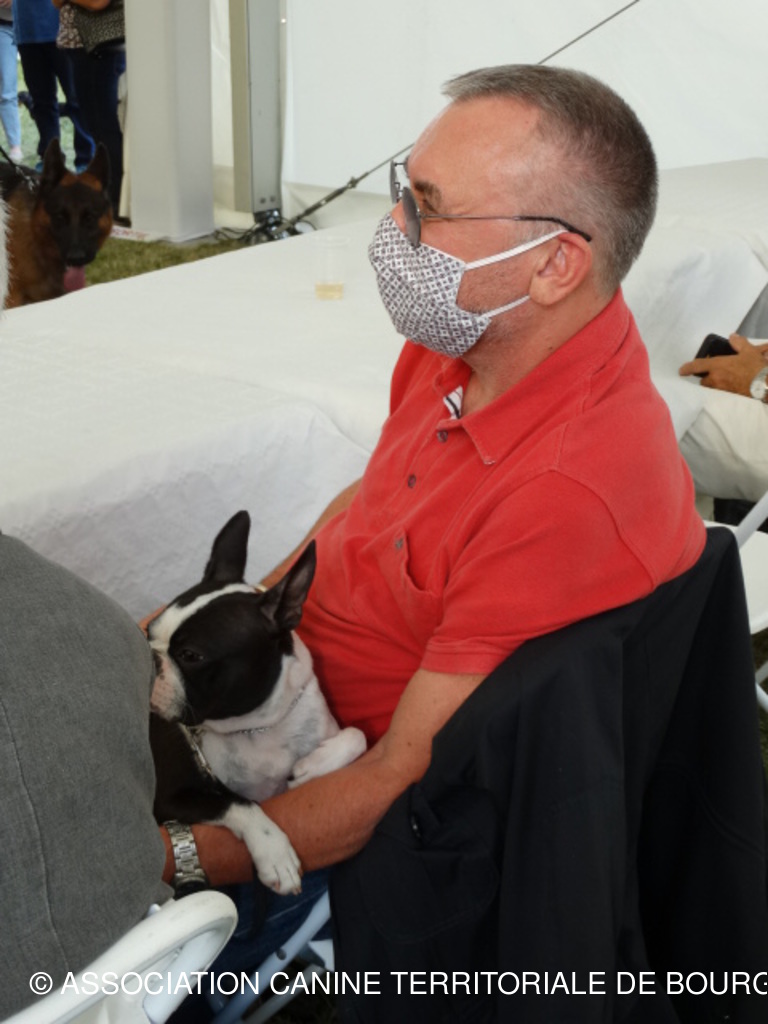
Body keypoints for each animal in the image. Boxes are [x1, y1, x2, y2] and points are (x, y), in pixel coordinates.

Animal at [148, 511, 367, 894]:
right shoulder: (170, 800)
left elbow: (358, 735)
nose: (149, 659)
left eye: (190, 655)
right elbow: (239, 802)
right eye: (148, 633)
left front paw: (312, 766)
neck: (256, 726)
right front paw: (274, 853)